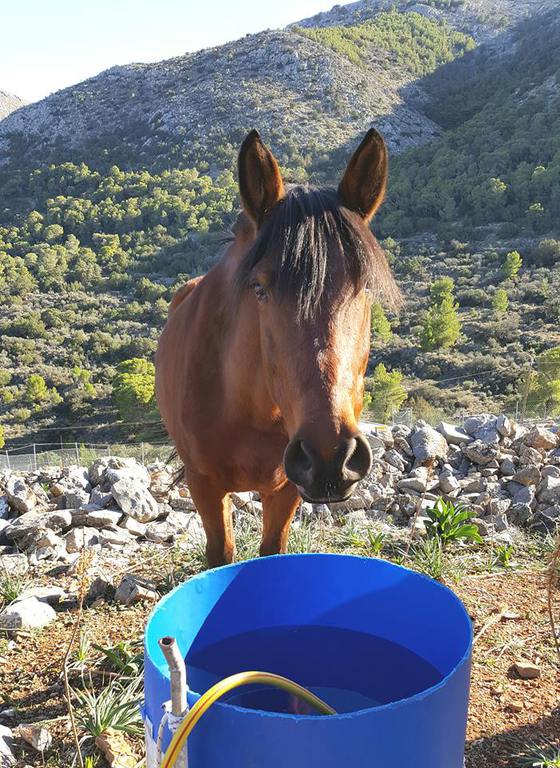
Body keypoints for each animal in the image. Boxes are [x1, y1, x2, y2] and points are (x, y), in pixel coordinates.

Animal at [155, 128, 400, 568]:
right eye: (259, 288)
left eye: (366, 289)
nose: (330, 456)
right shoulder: (204, 486)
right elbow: (221, 555)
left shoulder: (287, 486)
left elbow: (272, 551)